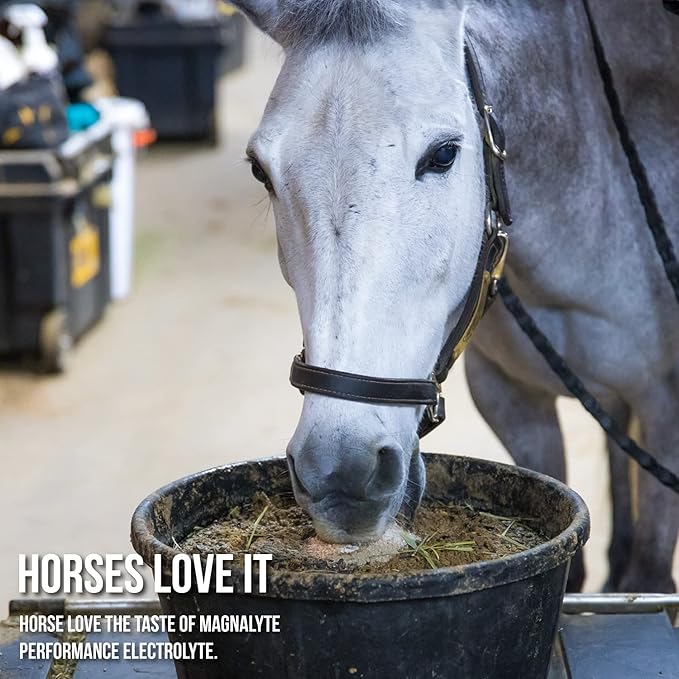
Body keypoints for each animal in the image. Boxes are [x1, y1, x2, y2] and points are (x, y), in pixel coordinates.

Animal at [231, 0, 679, 592]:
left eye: (444, 154)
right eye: (260, 169)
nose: (341, 473)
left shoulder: (665, 410)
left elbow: (648, 574)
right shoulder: (512, 400)